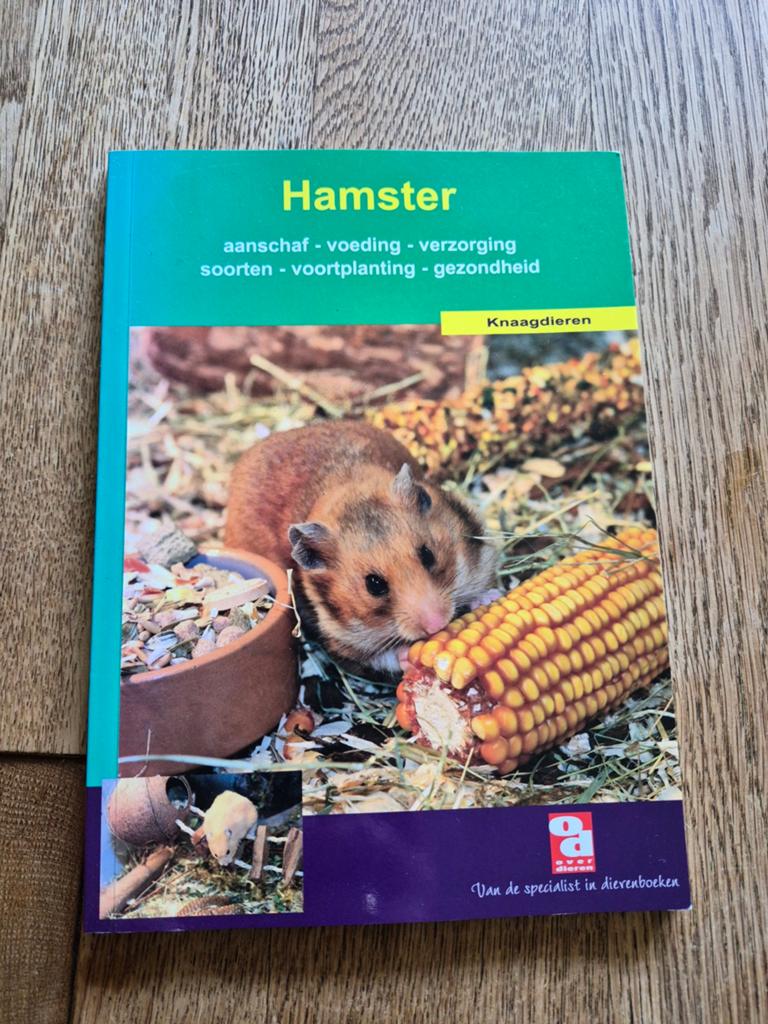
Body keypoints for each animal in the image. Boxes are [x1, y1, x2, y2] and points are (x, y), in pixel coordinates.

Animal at [225, 421, 498, 675]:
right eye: (374, 584)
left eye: (428, 554)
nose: (437, 625)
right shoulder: (345, 641)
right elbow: (381, 657)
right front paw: (407, 656)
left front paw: (488, 598)